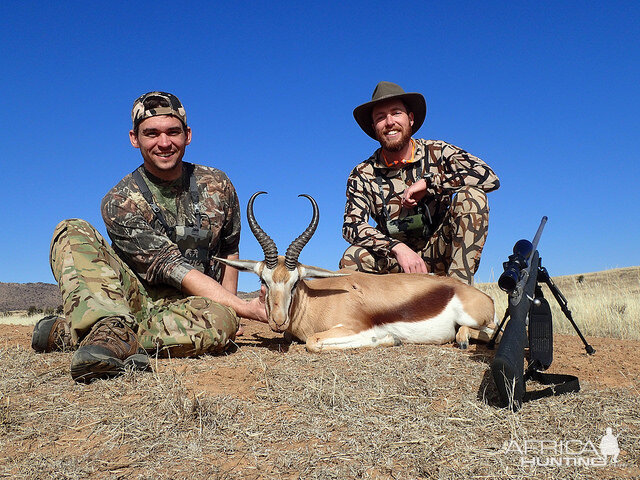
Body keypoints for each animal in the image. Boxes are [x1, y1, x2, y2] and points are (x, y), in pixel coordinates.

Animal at [218, 191, 498, 352]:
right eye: (263, 281)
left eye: (296, 282)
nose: (278, 321)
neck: (316, 302)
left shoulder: (351, 327)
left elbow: (313, 343)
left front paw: (390, 339)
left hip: (475, 318)